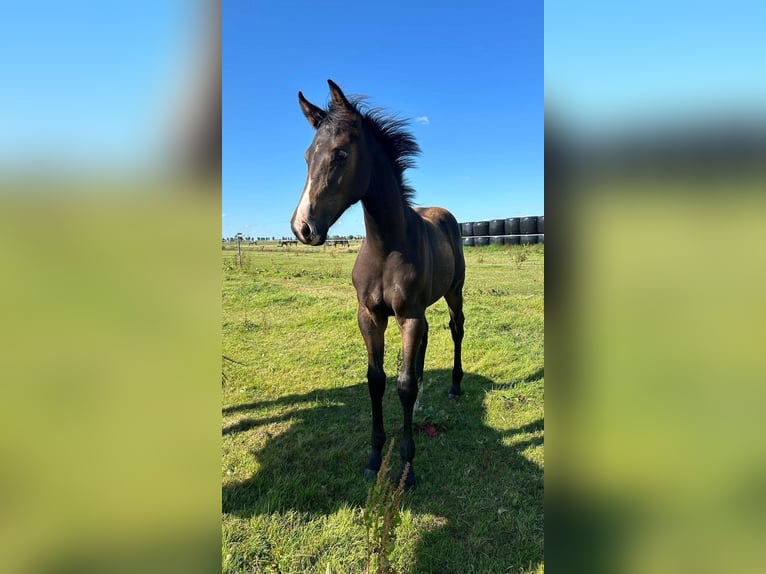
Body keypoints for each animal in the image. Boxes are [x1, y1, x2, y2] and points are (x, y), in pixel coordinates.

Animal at [290, 79, 464, 488]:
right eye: (307, 156)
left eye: (340, 154)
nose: (303, 227)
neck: (386, 248)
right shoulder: (370, 316)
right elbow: (376, 380)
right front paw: (373, 457)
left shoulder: (408, 316)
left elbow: (402, 385)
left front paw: (407, 466)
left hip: (454, 292)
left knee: (455, 329)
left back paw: (454, 386)